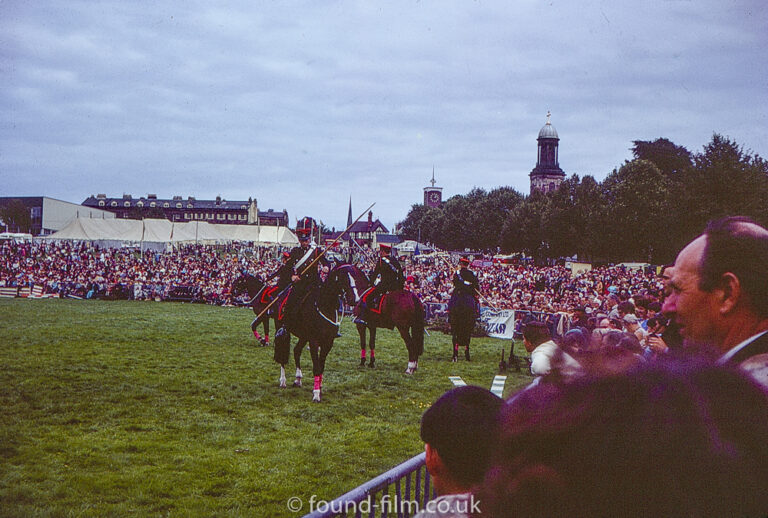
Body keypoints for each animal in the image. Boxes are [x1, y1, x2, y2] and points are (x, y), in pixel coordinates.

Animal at [274, 264, 358, 402]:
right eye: (344, 278)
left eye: (355, 277)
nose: (355, 299)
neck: (324, 305)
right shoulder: (314, 341)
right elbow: (317, 367)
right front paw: (316, 394)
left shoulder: (328, 342)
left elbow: (321, 366)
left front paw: (319, 386)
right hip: (281, 329)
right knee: (282, 352)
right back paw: (283, 380)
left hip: (303, 336)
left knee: (296, 351)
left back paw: (298, 379)